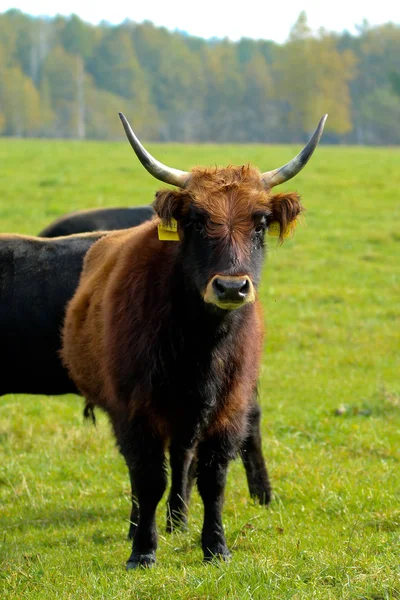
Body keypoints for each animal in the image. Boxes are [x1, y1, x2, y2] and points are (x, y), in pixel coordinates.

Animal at [61, 111, 326, 568]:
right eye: (197, 221)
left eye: (260, 222)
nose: (232, 287)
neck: (200, 344)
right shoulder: (135, 409)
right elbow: (148, 478)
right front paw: (142, 550)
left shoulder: (228, 409)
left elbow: (213, 480)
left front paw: (215, 546)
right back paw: (142, 524)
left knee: (182, 457)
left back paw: (178, 520)